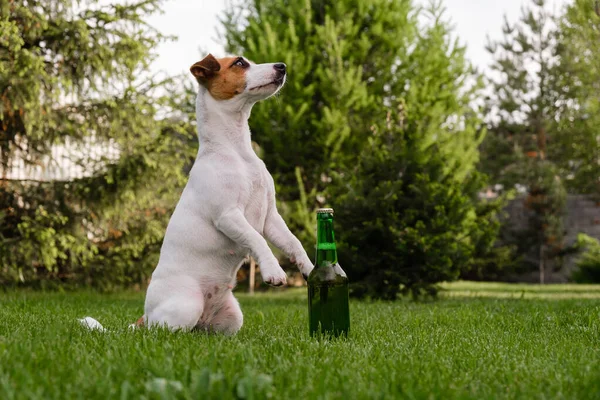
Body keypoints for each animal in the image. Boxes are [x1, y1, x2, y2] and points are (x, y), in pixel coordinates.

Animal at [136, 53, 314, 334]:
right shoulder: (228, 216)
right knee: (164, 332)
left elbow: (293, 242)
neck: (237, 151)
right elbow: (257, 240)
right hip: (185, 306)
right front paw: (273, 271)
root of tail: (144, 316)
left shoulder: (270, 217)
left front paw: (311, 268)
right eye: (240, 63)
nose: (282, 66)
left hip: (232, 318)